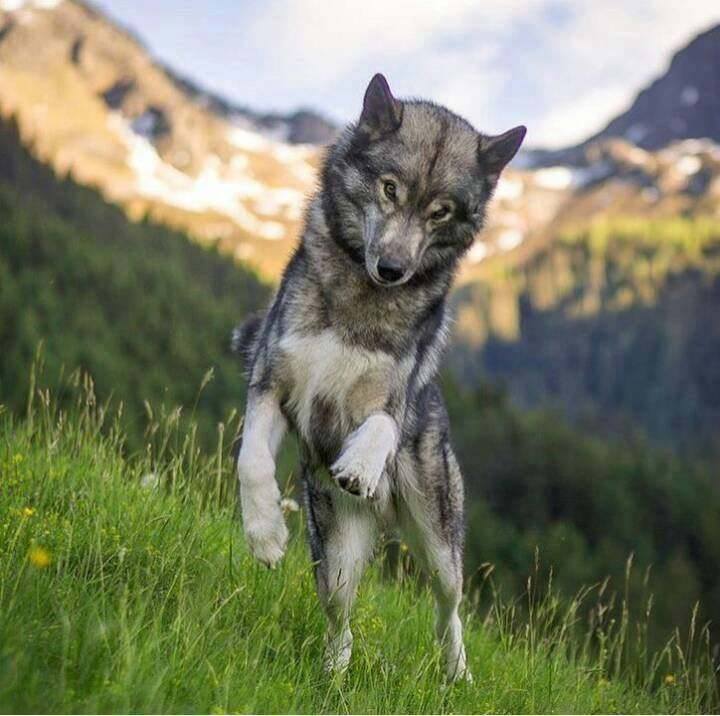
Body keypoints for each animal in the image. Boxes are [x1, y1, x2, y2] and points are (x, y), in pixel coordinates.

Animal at [235, 74, 524, 684]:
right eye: (390, 189)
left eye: (440, 212)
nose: (392, 269)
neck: (359, 300)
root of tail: (386, 516)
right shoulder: (271, 387)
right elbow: (250, 462)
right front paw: (265, 536)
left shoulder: (391, 400)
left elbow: (379, 427)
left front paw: (360, 466)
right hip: (336, 557)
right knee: (341, 619)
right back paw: (333, 677)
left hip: (439, 542)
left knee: (449, 609)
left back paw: (456, 674)